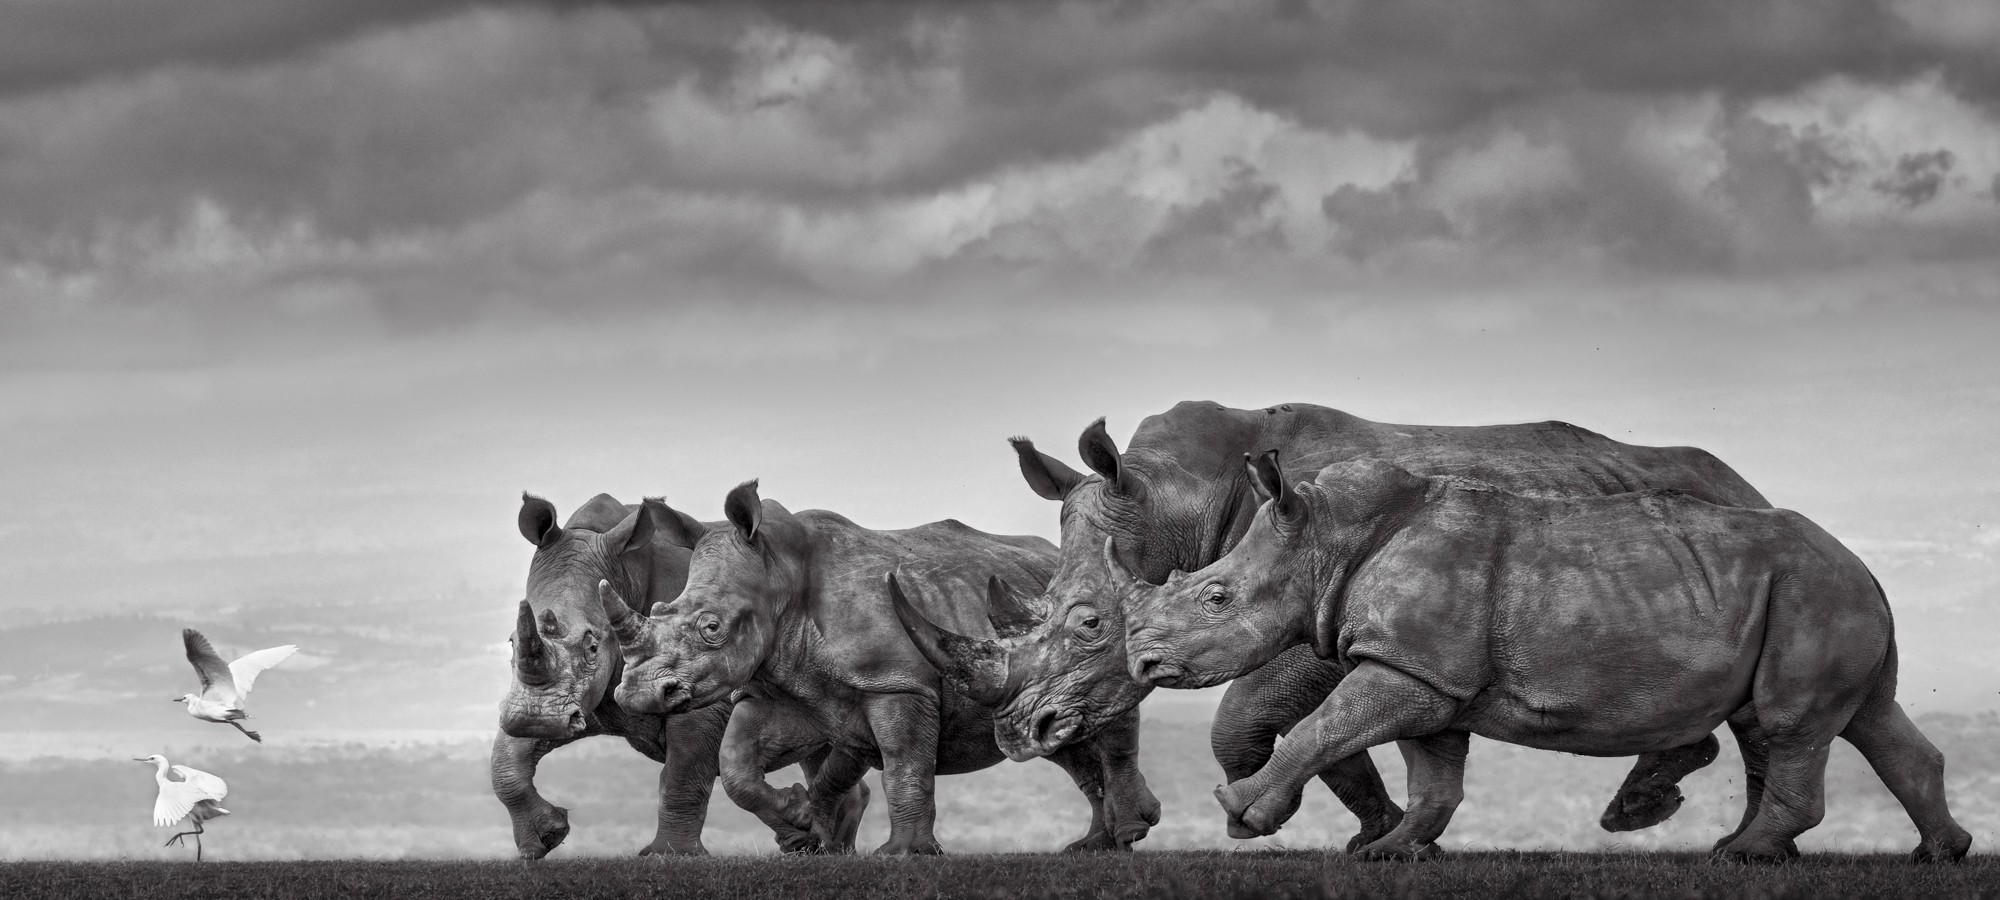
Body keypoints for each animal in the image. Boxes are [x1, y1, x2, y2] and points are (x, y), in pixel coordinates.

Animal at [495, 493, 867, 858]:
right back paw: (820, 849)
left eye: (592, 647)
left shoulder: (703, 685)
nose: (535, 719)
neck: (624, 573)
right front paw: (545, 838)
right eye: (511, 642)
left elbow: (683, 772)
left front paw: (670, 856)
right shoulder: (576, 699)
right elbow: (505, 758)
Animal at [601, 480, 1161, 854]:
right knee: (1059, 736)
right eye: (659, 609)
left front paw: (904, 855)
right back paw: (1095, 846)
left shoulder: (899, 685)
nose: (637, 694)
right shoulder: (776, 688)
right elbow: (737, 762)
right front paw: (802, 823)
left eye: (712, 628)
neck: (778, 573)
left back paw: (1124, 834)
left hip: (1090, 633)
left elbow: (903, 762)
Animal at [904, 401, 1773, 849]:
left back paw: (1651, 813)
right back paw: (1645, 806)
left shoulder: (1317, 602)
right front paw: (1379, 833)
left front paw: (1270, 820)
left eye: (1091, 623)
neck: (1174, 499)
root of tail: (1750, 486)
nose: (1025, 731)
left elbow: (1252, 713)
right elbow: (1313, 724)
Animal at [1122, 453, 1972, 863]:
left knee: (1791, 724)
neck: (1325, 539)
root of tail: (1866, 566)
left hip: (1812, 593)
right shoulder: (1426, 671)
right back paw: (1938, 854)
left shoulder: (1412, 668)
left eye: (1217, 596)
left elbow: (1322, 727)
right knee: (1866, 719)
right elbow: (1433, 773)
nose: (1145, 667)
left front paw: (1240, 817)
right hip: (1819, 593)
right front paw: (1393, 853)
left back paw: (1739, 856)